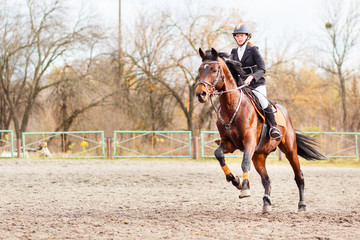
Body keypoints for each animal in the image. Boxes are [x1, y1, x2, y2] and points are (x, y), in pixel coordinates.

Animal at [197, 47, 326, 213]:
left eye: (214, 69)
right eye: (199, 70)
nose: (200, 94)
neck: (232, 107)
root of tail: (286, 113)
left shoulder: (249, 142)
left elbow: (244, 162)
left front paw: (244, 188)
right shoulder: (229, 143)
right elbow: (218, 154)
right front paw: (236, 180)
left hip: (290, 150)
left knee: (299, 176)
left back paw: (302, 205)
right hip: (259, 156)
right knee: (266, 180)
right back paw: (266, 203)